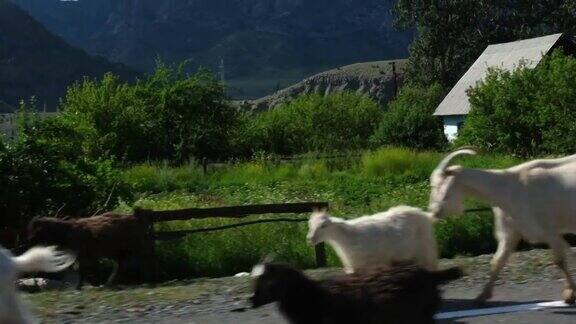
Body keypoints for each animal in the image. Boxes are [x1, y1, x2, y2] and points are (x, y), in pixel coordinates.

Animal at [27, 211, 155, 290]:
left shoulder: (83, 254)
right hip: (120, 250)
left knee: (145, 258)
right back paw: (111, 283)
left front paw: (82, 286)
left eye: (36, 229)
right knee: (121, 264)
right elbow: (81, 269)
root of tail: (135, 218)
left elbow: (82, 270)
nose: (29, 241)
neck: (66, 231)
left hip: (134, 246)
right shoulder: (83, 255)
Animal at [430, 149, 576, 304]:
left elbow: (560, 261)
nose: (434, 211)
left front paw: (570, 293)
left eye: (441, 184)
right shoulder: (509, 233)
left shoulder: (549, 231)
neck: (508, 188)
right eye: (432, 185)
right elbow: (497, 261)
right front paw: (482, 295)